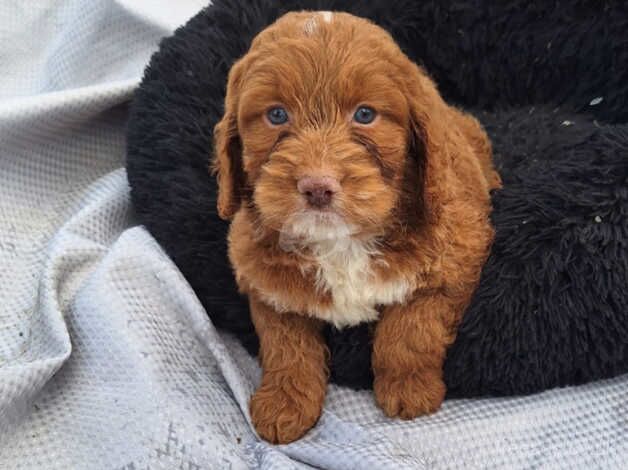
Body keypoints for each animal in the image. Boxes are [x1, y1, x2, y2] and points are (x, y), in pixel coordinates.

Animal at [213, 10, 502, 444]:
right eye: (276, 115)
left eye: (365, 114)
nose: (317, 186)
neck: (340, 242)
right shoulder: (261, 274)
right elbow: (285, 343)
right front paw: (284, 403)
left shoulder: (455, 254)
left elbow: (413, 328)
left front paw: (408, 389)